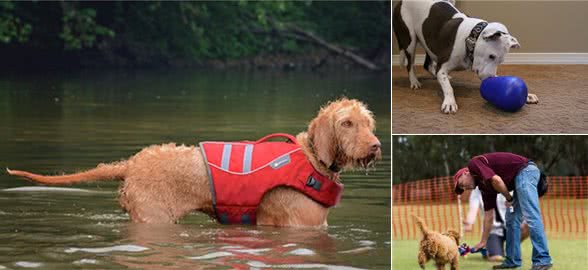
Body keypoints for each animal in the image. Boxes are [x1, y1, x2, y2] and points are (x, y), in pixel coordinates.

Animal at [8, 98, 382, 227]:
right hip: (154, 217)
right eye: (346, 123)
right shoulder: (301, 226)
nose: (377, 146)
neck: (312, 157)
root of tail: (130, 163)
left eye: (368, 122)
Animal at [392, 0, 540, 114]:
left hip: (429, 41)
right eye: (491, 56)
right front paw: (450, 102)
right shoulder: (443, 65)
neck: (469, 38)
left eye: (500, 61)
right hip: (409, 40)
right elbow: (448, 86)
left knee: (428, 64)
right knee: (410, 64)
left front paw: (528, 96)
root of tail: (401, 2)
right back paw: (414, 81)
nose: (490, 78)